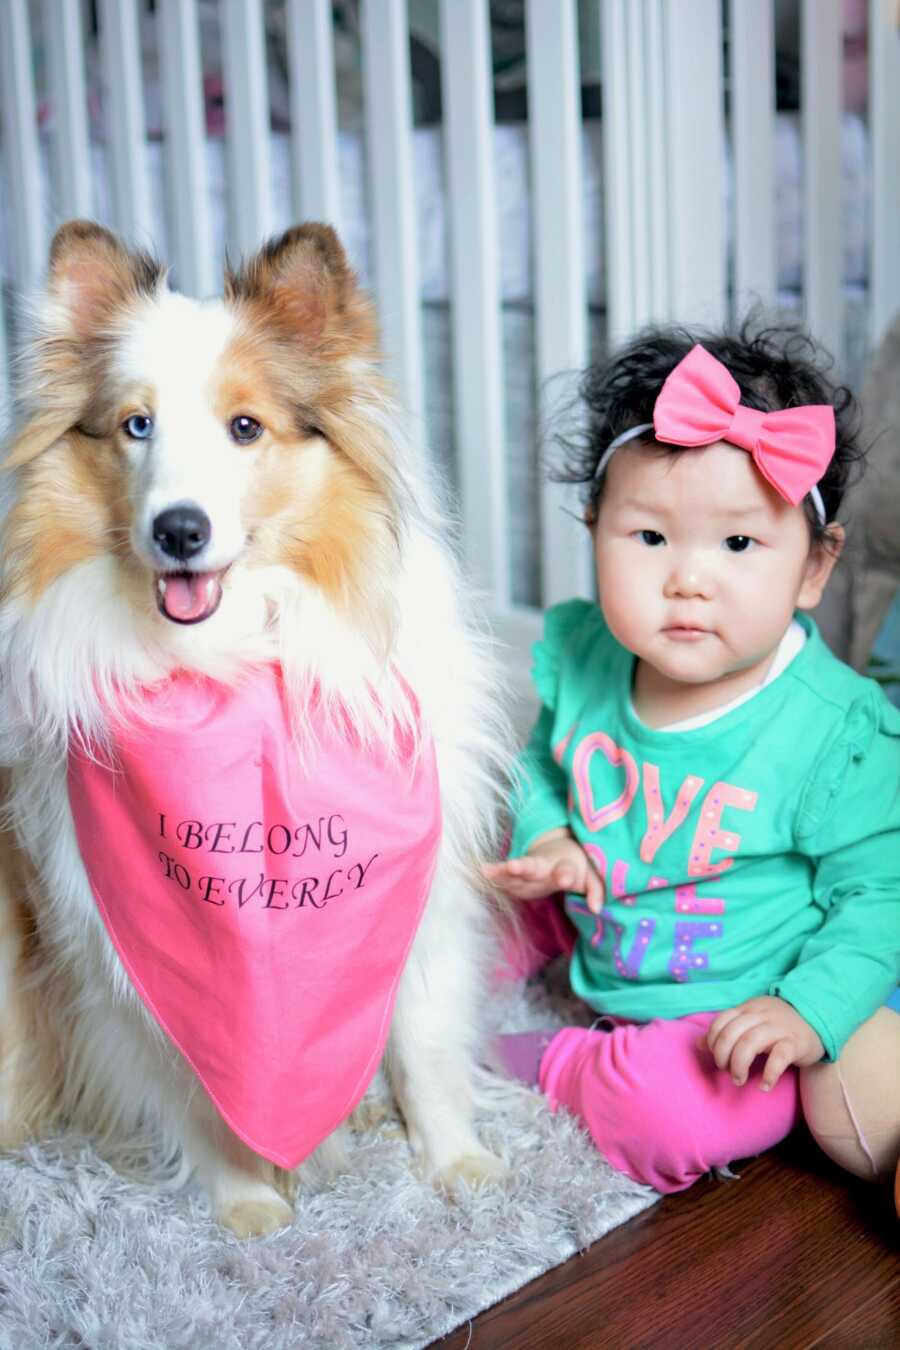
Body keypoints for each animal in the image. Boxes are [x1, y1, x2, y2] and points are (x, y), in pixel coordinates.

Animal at [0, 218, 510, 1236]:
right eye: (136, 425)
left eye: (246, 427)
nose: (180, 531)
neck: (232, 668)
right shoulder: (115, 953)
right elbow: (200, 1091)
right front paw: (247, 1207)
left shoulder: (424, 895)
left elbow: (424, 1045)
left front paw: (457, 1166)